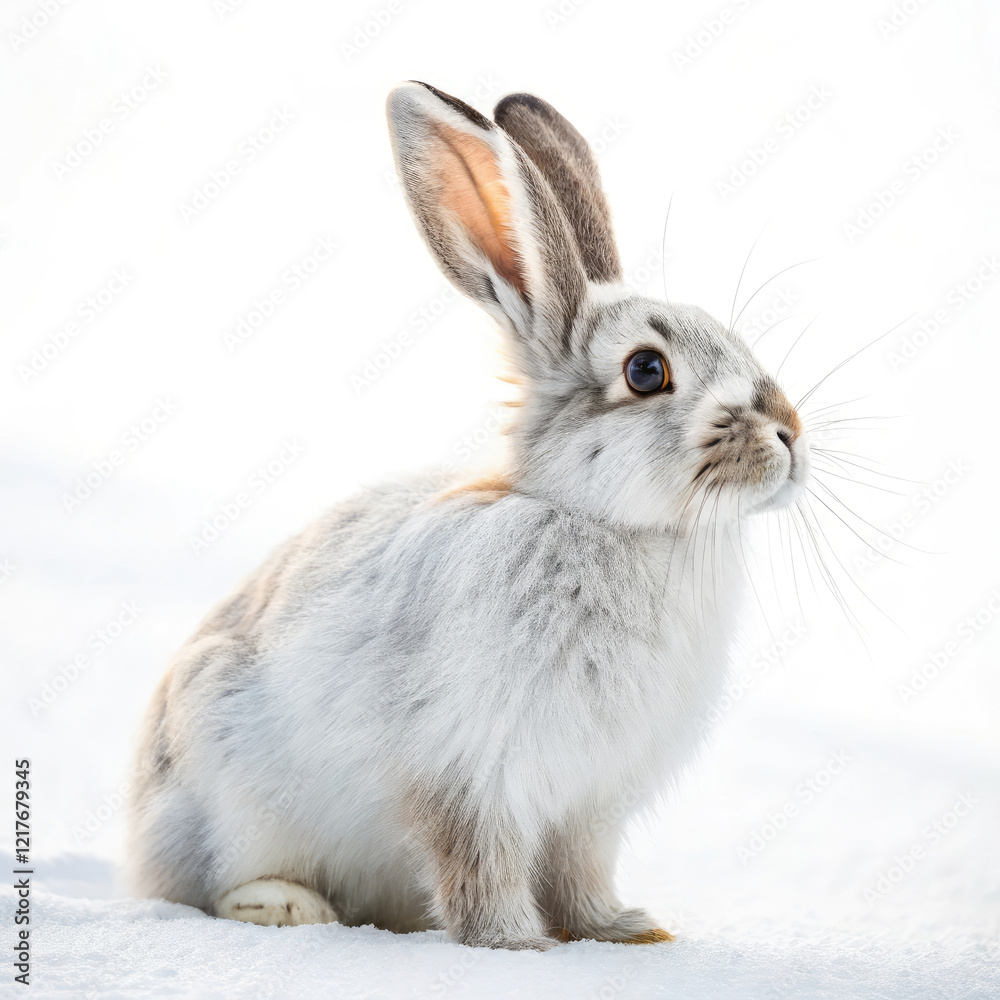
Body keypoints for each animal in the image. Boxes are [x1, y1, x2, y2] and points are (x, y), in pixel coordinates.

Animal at [127, 81, 809, 951]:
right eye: (646, 371)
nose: (790, 434)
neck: (603, 523)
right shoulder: (471, 770)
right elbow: (478, 860)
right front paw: (515, 944)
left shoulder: (590, 803)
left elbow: (582, 873)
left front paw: (624, 930)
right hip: (227, 788)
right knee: (216, 883)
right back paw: (286, 906)